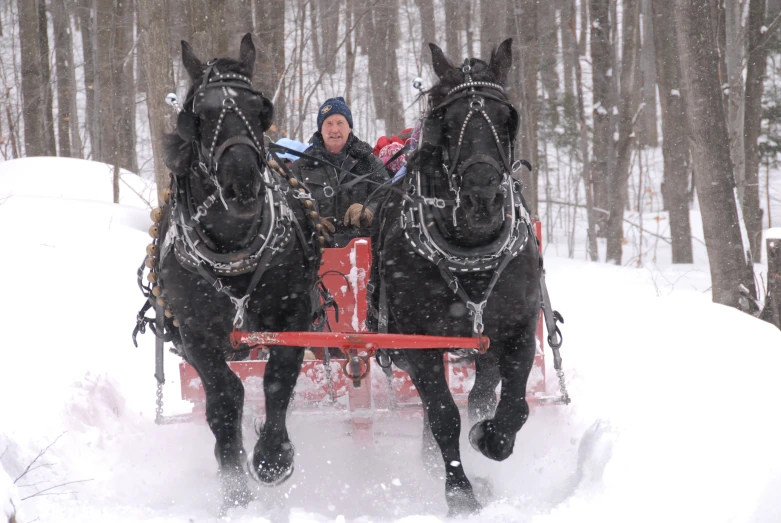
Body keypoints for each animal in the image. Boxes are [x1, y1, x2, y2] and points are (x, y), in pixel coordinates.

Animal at [151, 34, 322, 512]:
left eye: (258, 106)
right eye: (199, 115)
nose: (242, 181)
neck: (232, 250)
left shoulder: (293, 316)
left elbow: (278, 380)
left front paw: (272, 458)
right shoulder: (196, 333)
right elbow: (225, 398)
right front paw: (235, 488)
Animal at [378, 40, 544, 516]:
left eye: (507, 117)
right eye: (446, 123)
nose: (482, 197)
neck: (471, 251)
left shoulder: (516, 331)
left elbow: (512, 407)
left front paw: (488, 438)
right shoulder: (419, 345)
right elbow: (442, 416)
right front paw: (460, 493)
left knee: (480, 395)